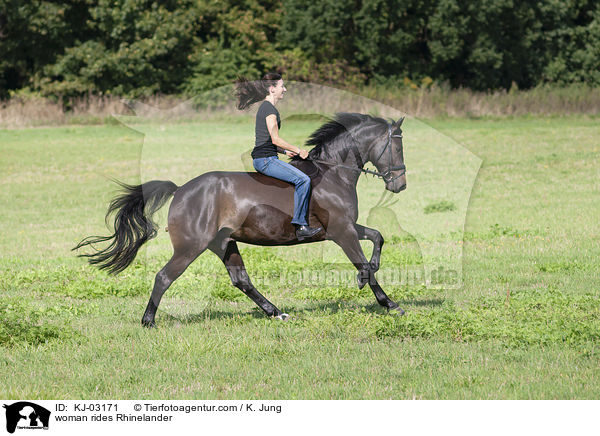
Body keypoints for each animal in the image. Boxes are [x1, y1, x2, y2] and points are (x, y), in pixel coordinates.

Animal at [72, 113, 406, 328]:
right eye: (397, 146)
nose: (400, 185)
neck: (332, 172)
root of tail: (181, 190)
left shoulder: (345, 228)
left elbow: (377, 237)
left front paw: (370, 276)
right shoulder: (341, 231)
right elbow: (365, 264)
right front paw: (389, 303)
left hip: (224, 243)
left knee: (241, 280)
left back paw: (276, 313)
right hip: (191, 247)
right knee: (164, 277)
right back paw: (148, 322)